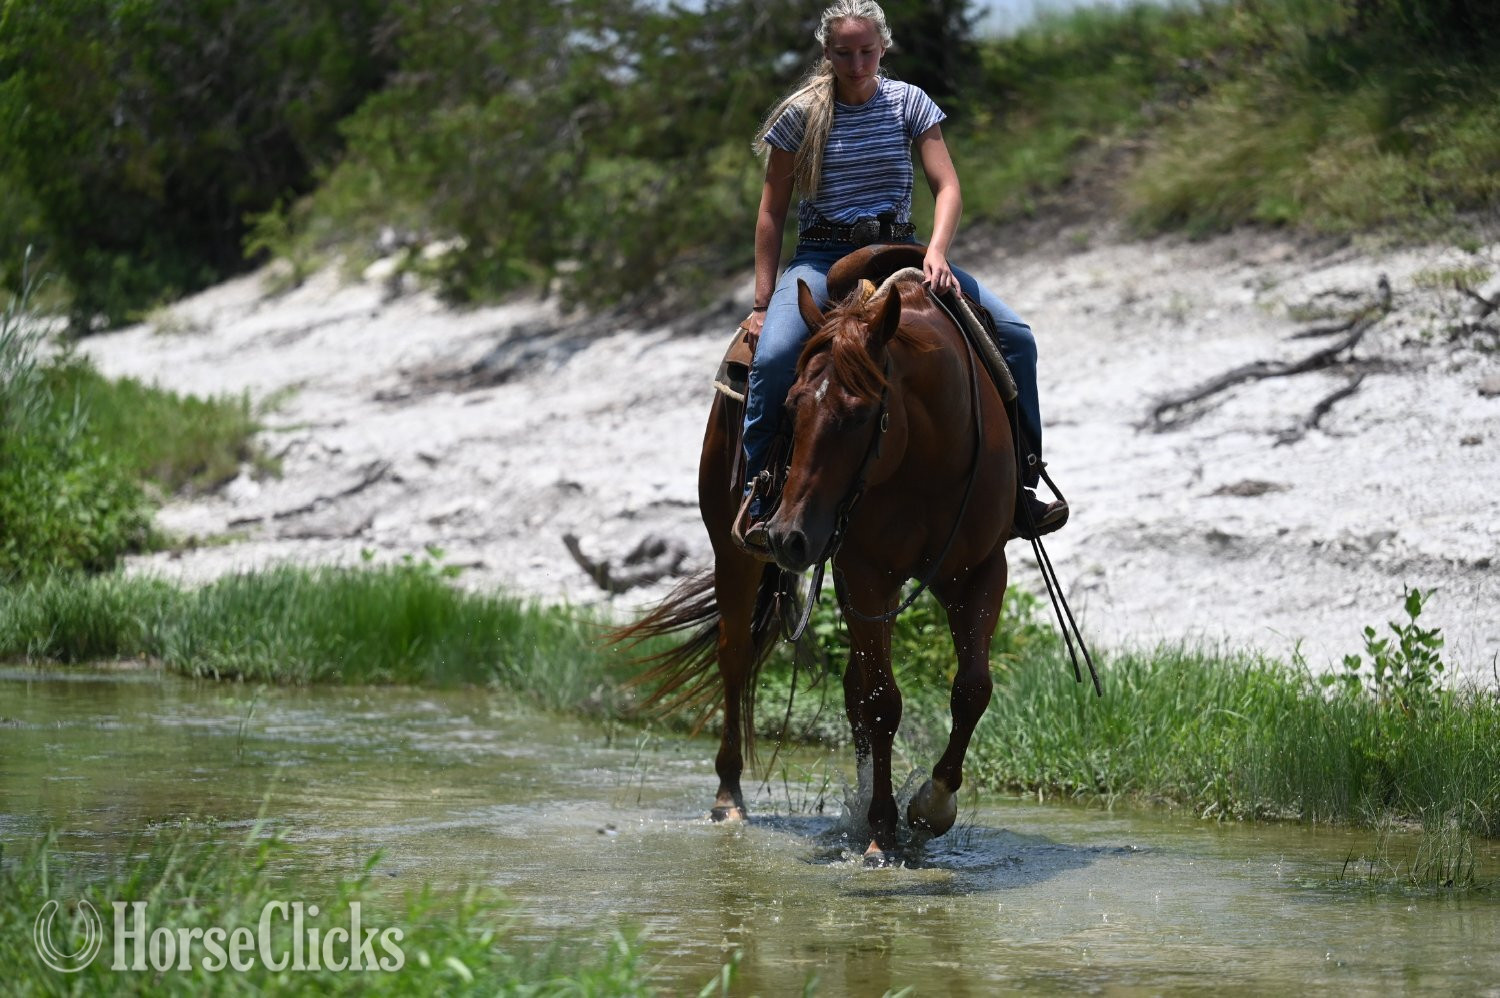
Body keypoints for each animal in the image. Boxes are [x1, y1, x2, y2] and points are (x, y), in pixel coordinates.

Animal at [612, 252, 1016, 861]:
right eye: (789, 407)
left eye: (859, 414)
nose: (788, 536)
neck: (925, 455)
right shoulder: (868, 573)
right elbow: (883, 701)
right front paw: (880, 833)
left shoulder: (980, 569)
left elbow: (970, 688)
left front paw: (929, 809)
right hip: (734, 550)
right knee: (736, 656)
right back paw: (729, 797)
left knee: (853, 687)